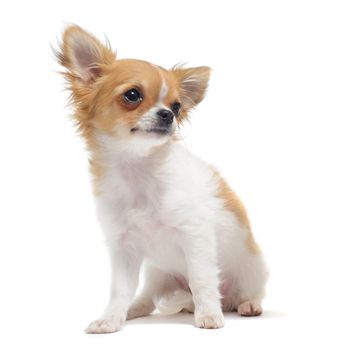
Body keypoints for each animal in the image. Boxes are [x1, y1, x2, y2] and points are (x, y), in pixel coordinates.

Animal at [56, 25, 268, 334]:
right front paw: (111, 318)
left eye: (177, 106)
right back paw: (134, 310)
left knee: (243, 293)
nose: (168, 115)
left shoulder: (195, 236)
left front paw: (209, 315)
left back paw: (246, 305)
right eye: (132, 95)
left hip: (253, 270)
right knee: (147, 299)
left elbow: (202, 279)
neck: (137, 169)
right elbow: (120, 289)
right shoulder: (123, 247)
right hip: (158, 274)